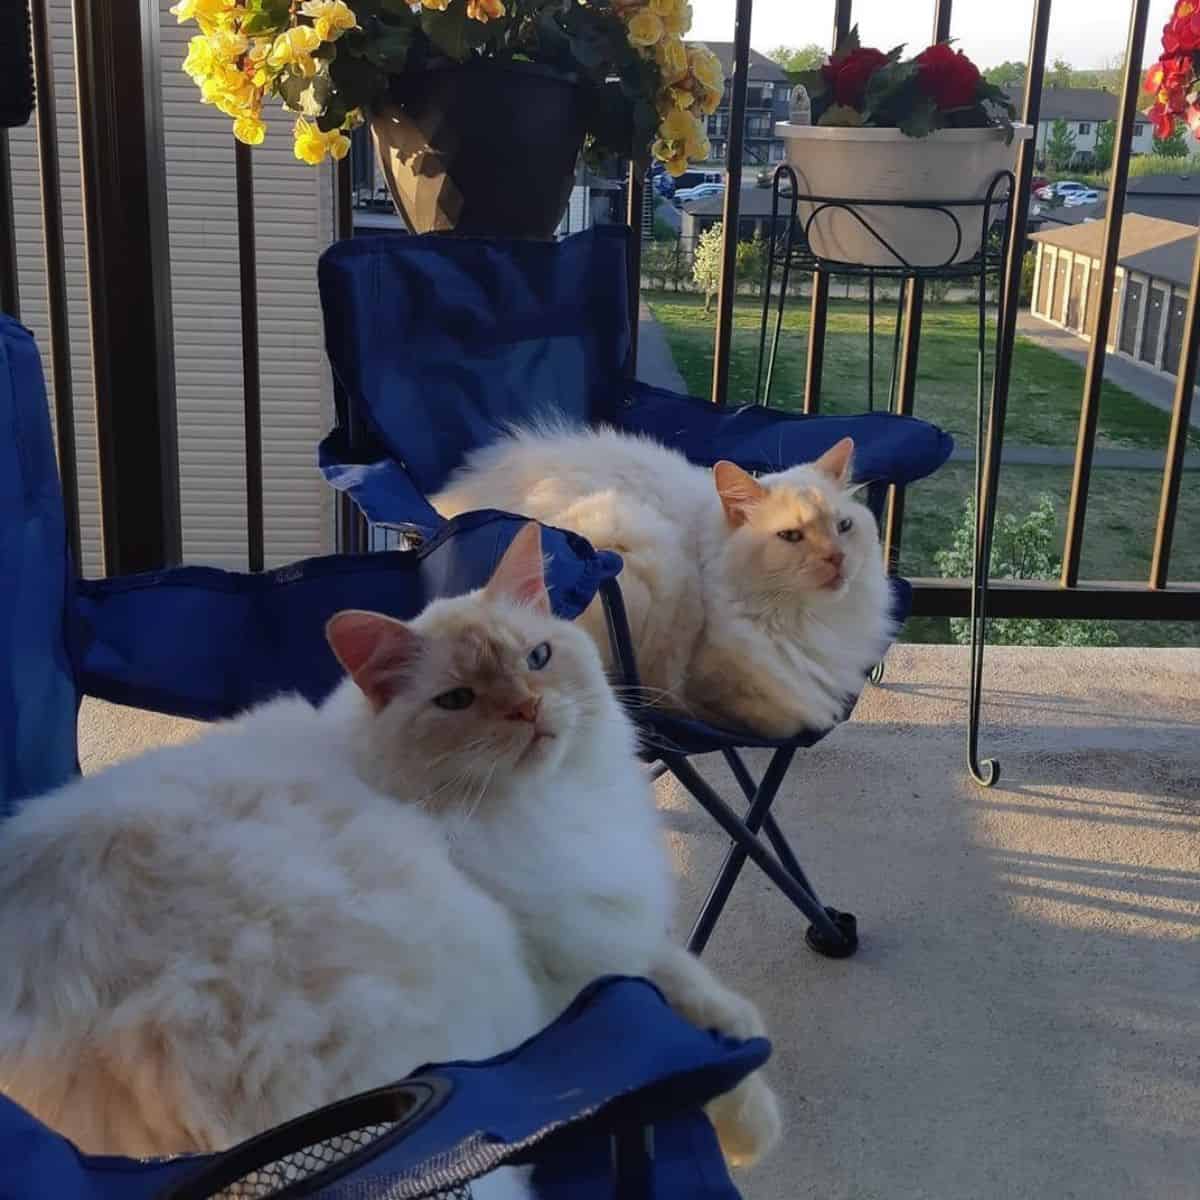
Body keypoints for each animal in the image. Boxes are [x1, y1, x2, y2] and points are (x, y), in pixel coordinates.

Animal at [0, 528, 777, 1200]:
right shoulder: (567, 960)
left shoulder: (604, 918)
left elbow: (686, 975)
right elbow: (663, 1007)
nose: (529, 710)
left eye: (537, 660)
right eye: (458, 699)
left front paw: (745, 1042)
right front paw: (751, 1117)